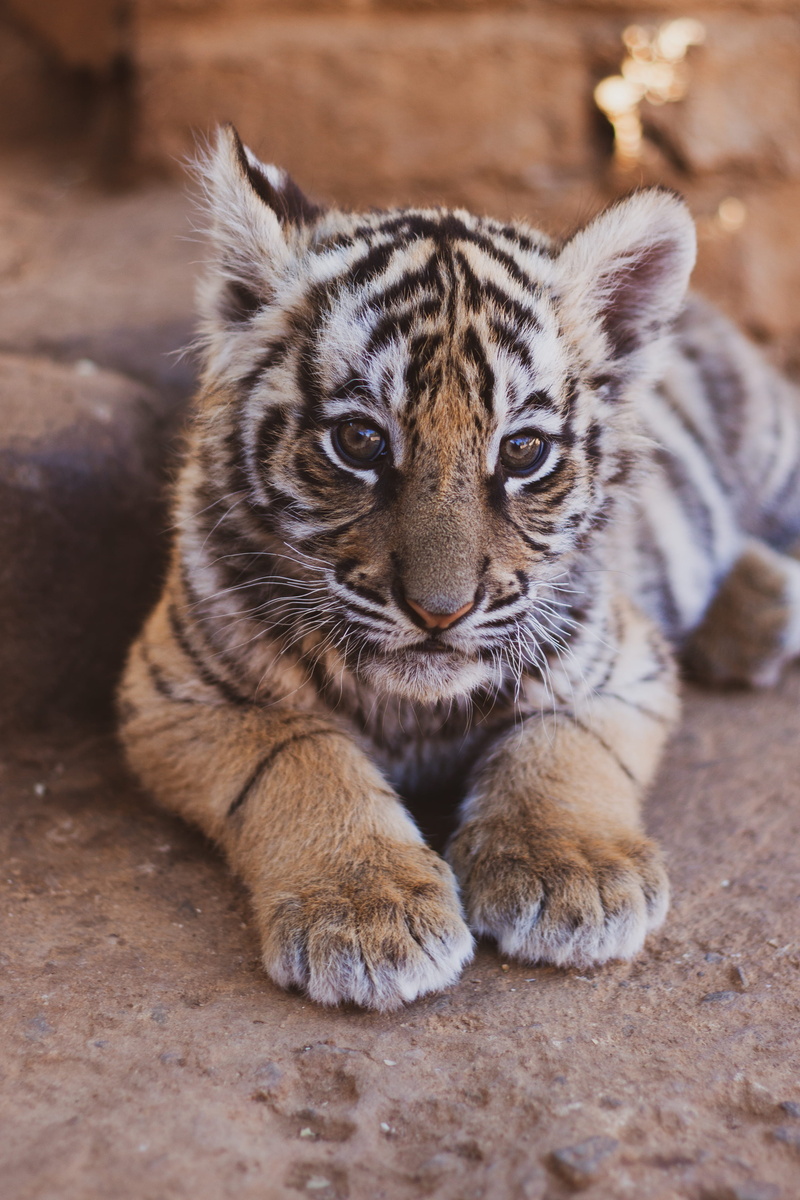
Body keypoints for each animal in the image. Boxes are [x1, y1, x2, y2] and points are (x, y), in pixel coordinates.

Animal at [118, 124, 800, 1011]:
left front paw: (573, 874)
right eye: (360, 441)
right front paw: (367, 914)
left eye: (523, 450)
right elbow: (303, 760)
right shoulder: (178, 693)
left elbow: (559, 745)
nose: (439, 611)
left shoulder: (621, 663)